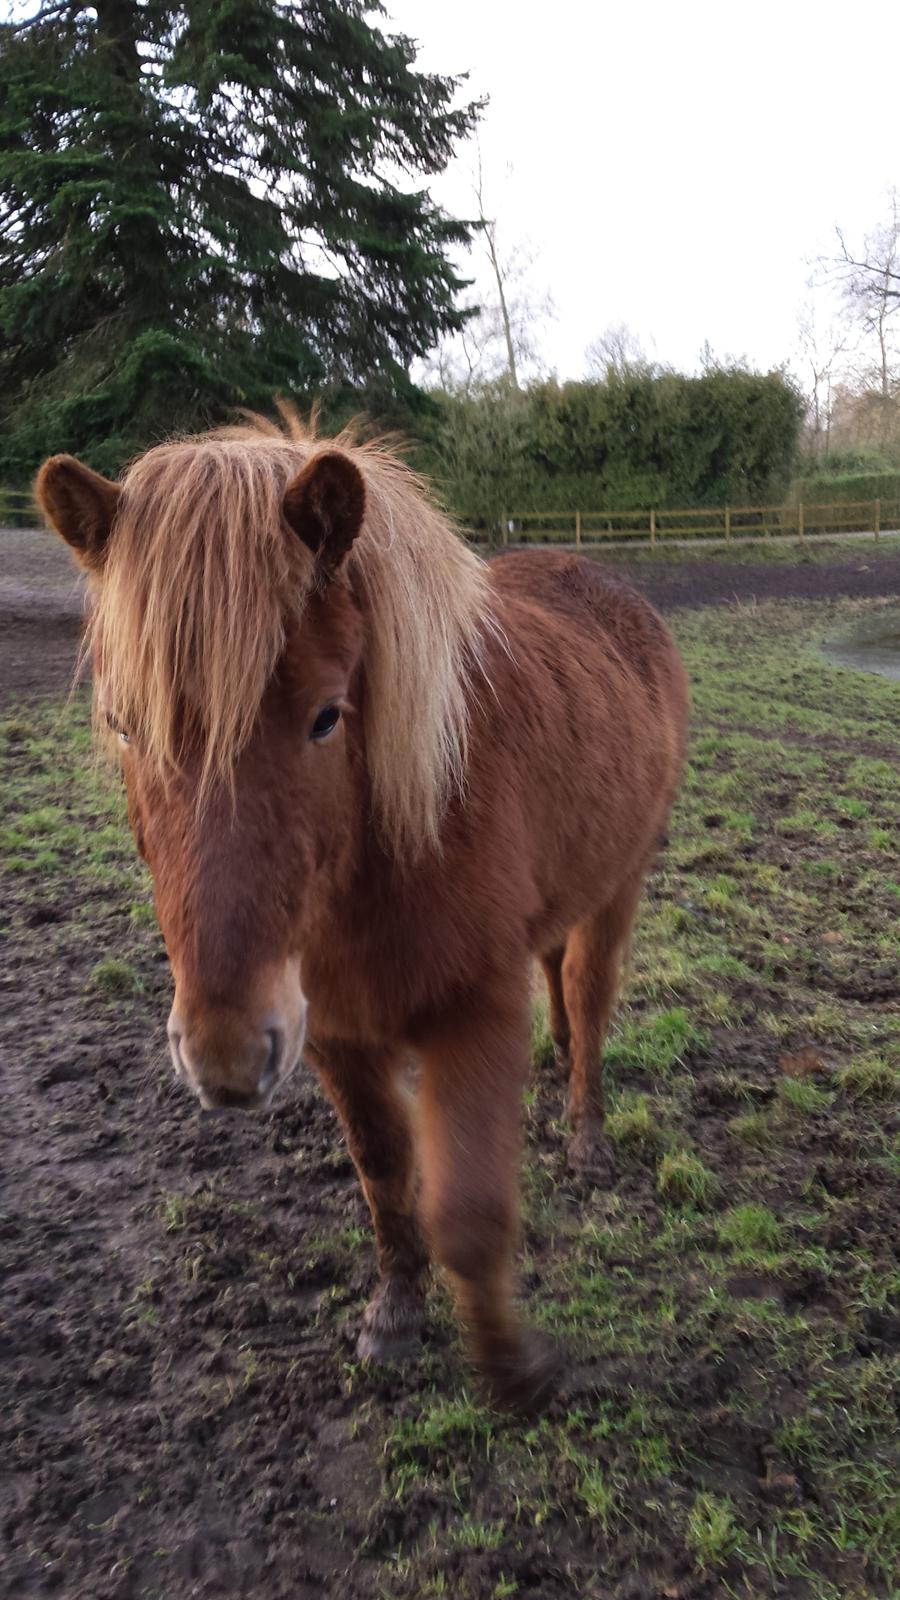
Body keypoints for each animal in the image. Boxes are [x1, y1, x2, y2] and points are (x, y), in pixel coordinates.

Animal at [31, 412, 682, 1414]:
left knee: (589, 996)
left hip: (619, 889)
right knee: (562, 991)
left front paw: (516, 1370)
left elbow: (467, 1213)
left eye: (327, 717)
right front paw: (396, 1313)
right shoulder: (333, 1033)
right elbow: (385, 1176)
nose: (223, 1058)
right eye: (125, 725)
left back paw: (587, 1137)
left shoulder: (473, 1014)